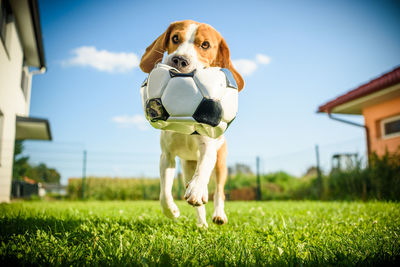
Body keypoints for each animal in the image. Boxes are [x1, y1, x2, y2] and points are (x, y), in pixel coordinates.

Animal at [140, 19, 244, 227]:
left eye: (205, 45)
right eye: (175, 38)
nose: (179, 60)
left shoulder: (209, 149)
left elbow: (204, 168)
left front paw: (196, 190)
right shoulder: (167, 156)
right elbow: (164, 192)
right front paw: (171, 210)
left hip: (221, 164)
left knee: (218, 192)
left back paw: (217, 213)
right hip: (187, 166)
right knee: (198, 201)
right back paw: (202, 224)